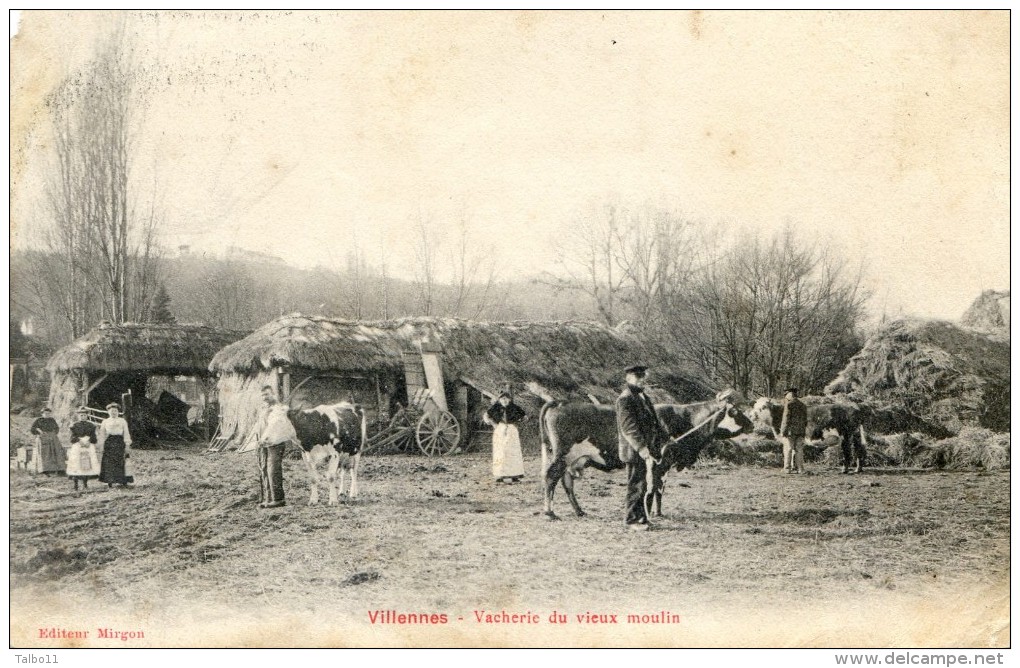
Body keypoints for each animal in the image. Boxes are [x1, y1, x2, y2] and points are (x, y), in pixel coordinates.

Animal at [538, 391, 754, 522]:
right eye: (735, 411)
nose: (752, 424)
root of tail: (559, 402)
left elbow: (659, 489)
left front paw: (657, 512)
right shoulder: (661, 461)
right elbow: (655, 487)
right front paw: (652, 513)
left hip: (572, 459)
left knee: (566, 482)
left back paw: (579, 511)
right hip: (562, 454)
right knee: (550, 477)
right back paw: (550, 512)